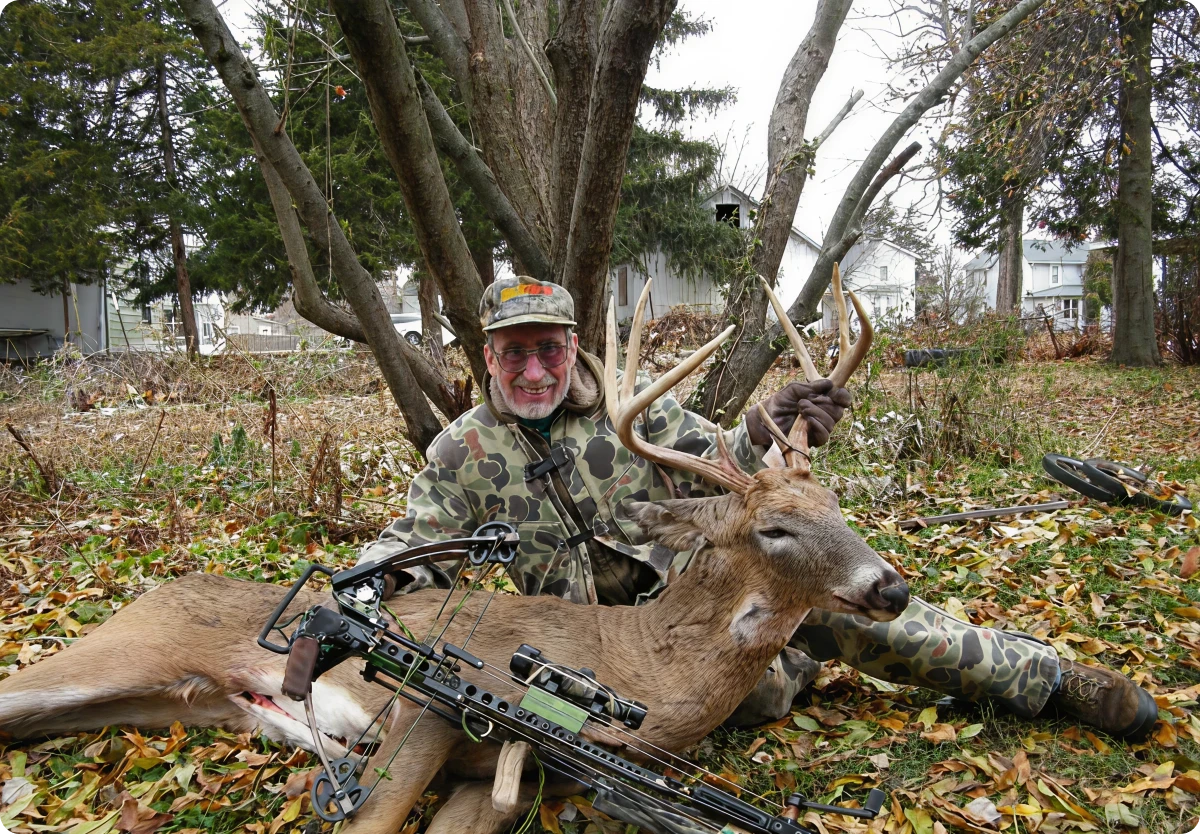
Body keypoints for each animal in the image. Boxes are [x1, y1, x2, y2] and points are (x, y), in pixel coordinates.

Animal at [0, 271, 908, 834]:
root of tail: (157, 586)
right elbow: (370, 821)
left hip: (166, 700)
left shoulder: (501, 769)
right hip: (116, 649)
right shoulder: (429, 713)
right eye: (775, 529)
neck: (635, 667)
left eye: (838, 508)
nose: (891, 587)